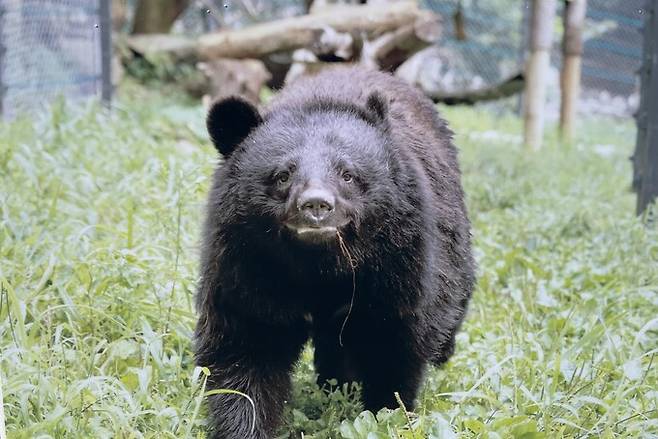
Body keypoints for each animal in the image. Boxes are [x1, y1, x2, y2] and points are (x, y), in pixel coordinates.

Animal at [193, 66, 472, 439]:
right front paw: (244, 426)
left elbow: (393, 340)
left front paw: (388, 411)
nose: (316, 205)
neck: (320, 263)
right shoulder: (245, 262)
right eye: (283, 175)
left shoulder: (399, 262)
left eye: (348, 174)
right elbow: (247, 343)